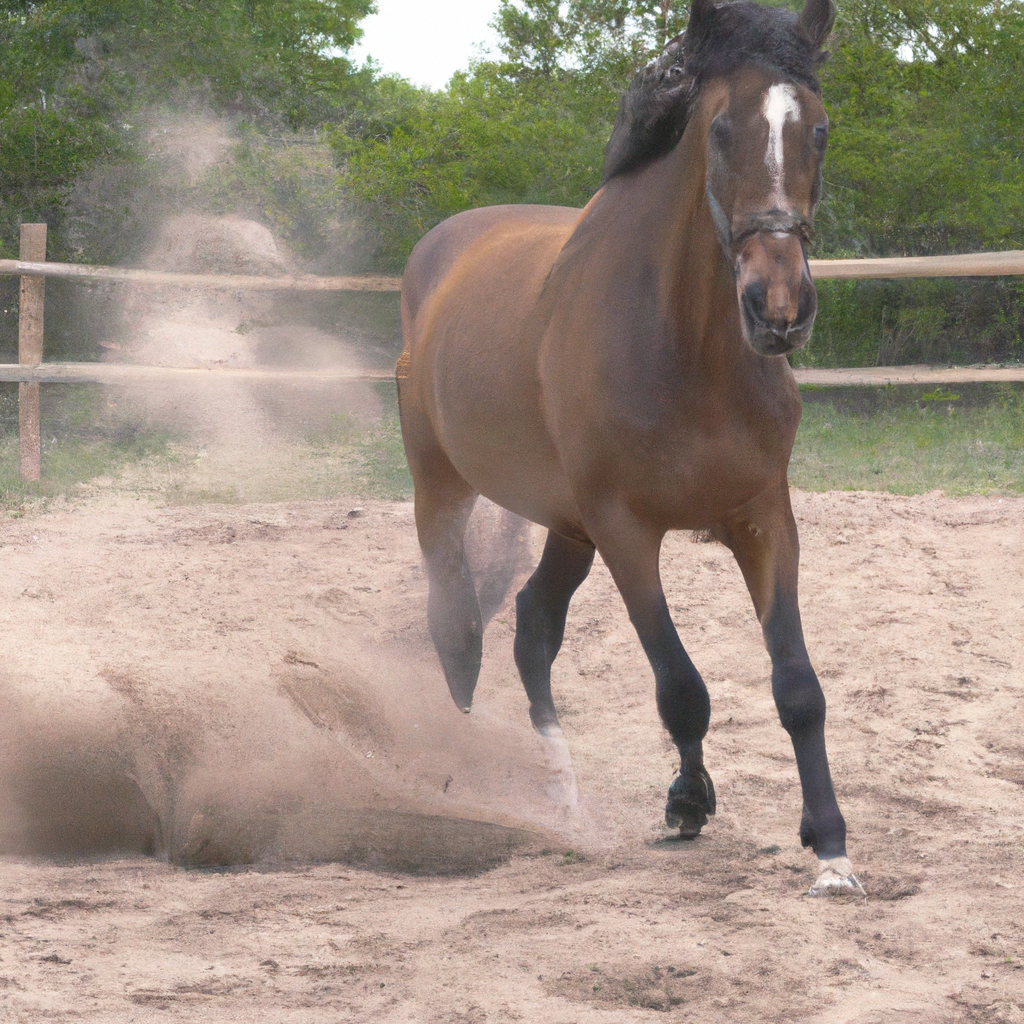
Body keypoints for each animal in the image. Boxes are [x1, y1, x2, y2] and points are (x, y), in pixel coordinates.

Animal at [395, 0, 860, 897]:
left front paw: (830, 848)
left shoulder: (763, 520)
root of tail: (434, 256)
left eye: (818, 130)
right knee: (459, 632)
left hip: (565, 527)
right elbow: (681, 687)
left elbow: (797, 687)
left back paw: (566, 800)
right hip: (444, 491)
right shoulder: (626, 531)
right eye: (721, 130)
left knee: (533, 629)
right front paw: (686, 804)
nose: (779, 309)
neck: (686, 348)